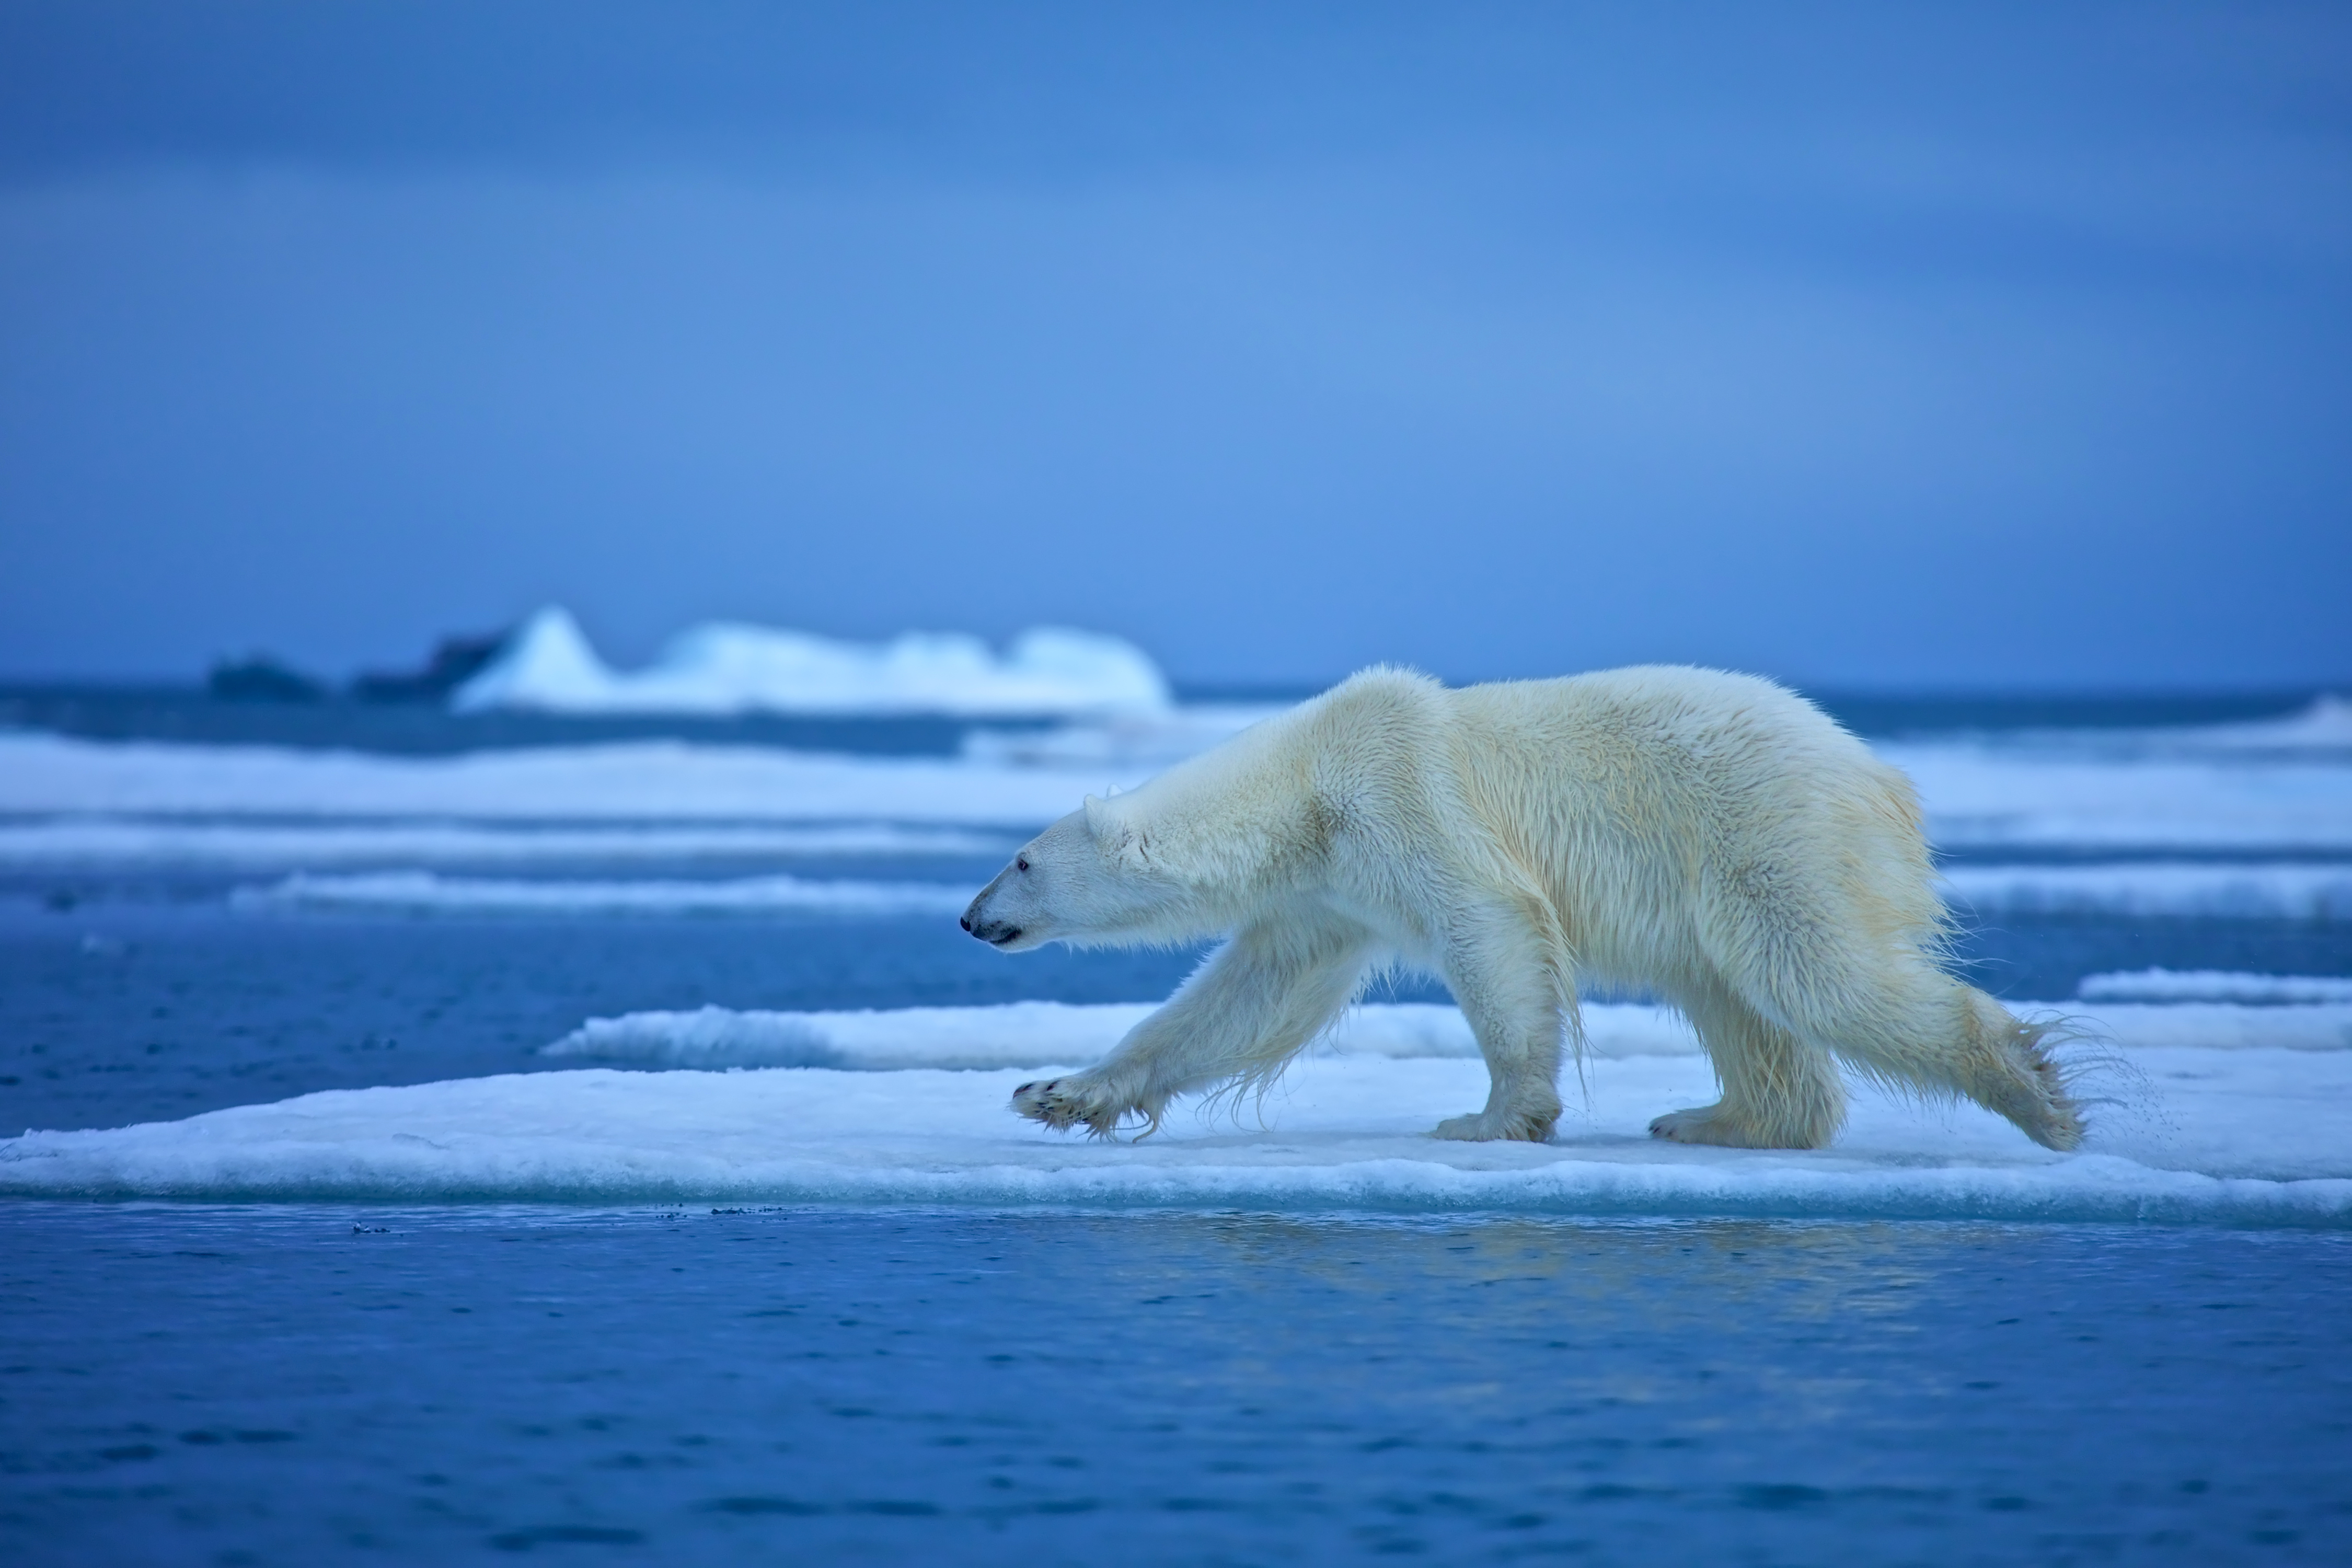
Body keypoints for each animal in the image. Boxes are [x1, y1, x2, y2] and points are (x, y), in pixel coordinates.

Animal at [964, 663, 2089, 1151]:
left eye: (1020, 860)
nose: (970, 919)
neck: (1307, 784)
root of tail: (1884, 778)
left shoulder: (1403, 796)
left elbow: (1490, 927)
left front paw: (1493, 1116)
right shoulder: (1329, 890)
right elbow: (1246, 998)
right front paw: (1058, 1092)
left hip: (1767, 834)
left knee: (1812, 972)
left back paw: (2037, 1093)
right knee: (1736, 999)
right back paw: (1712, 1118)